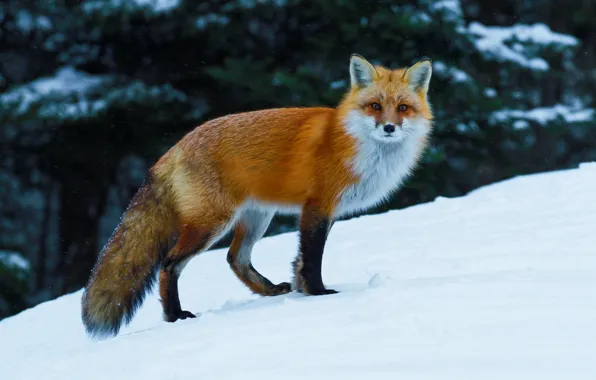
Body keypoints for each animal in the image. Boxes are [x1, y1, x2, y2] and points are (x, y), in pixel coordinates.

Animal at [81, 53, 434, 336]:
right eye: (375, 106)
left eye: (403, 108)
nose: (389, 127)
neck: (355, 145)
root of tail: (173, 149)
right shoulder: (317, 207)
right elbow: (312, 259)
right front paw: (319, 294)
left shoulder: (326, 211)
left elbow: (299, 260)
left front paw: (301, 292)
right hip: (212, 223)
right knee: (169, 265)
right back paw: (175, 316)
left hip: (256, 217)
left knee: (235, 258)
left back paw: (270, 291)